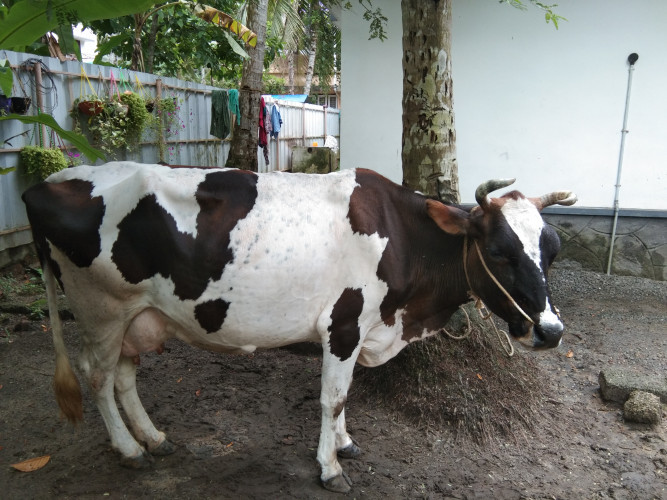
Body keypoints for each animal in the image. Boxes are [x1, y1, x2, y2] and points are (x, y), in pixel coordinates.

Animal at [22, 162, 576, 493]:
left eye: (552, 251)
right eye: (500, 253)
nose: (550, 331)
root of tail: (50, 179)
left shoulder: (362, 330)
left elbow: (347, 397)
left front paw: (344, 444)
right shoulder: (344, 325)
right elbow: (334, 397)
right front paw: (330, 467)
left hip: (137, 316)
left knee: (123, 377)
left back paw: (154, 438)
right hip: (102, 310)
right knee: (97, 377)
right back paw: (130, 449)